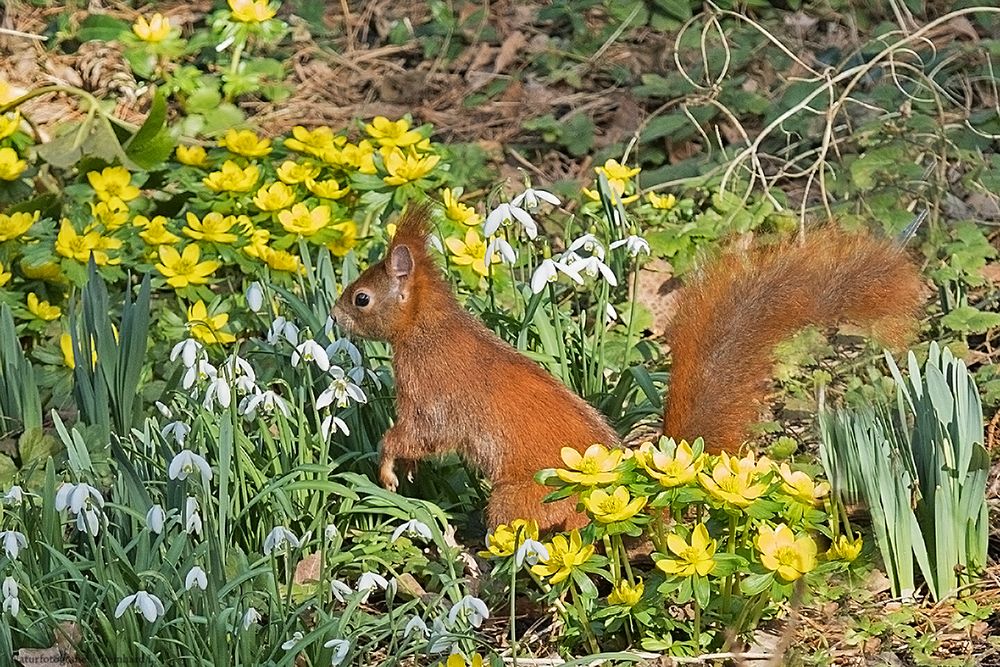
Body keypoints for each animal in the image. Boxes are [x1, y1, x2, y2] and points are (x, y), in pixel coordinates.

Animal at [332, 204, 924, 532]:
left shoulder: (431, 393)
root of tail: (638, 500)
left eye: (361, 298)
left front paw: (389, 465)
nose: (336, 315)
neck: (426, 329)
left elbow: (414, 433)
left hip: (521, 499)